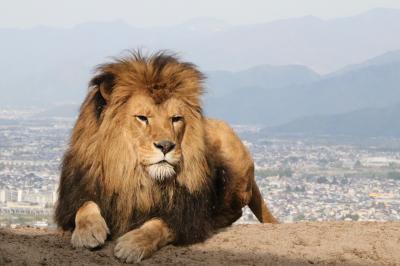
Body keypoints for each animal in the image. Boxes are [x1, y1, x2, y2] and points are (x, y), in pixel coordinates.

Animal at [54, 51, 276, 262]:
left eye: (175, 119)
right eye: (142, 118)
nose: (166, 146)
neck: (133, 176)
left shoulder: (185, 217)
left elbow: (157, 226)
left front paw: (133, 244)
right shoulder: (75, 195)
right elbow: (85, 206)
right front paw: (89, 232)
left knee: (235, 211)